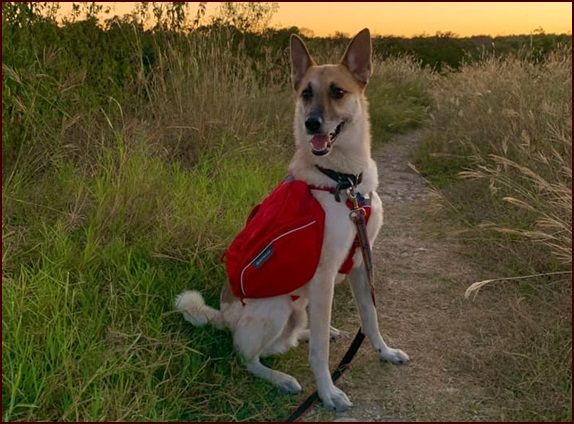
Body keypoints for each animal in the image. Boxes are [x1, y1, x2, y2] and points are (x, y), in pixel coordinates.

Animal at [174, 28, 410, 412]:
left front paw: (384, 351)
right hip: (280, 307)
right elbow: (319, 353)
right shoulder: (325, 277)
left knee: (296, 336)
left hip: (299, 307)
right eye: (306, 93)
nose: (311, 123)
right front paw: (328, 392)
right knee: (247, 356)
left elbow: (370, 319)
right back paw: (281, 377)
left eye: (338, 92)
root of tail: (224, 316)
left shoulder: (361, 264)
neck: (343, 181)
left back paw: (318, 332)